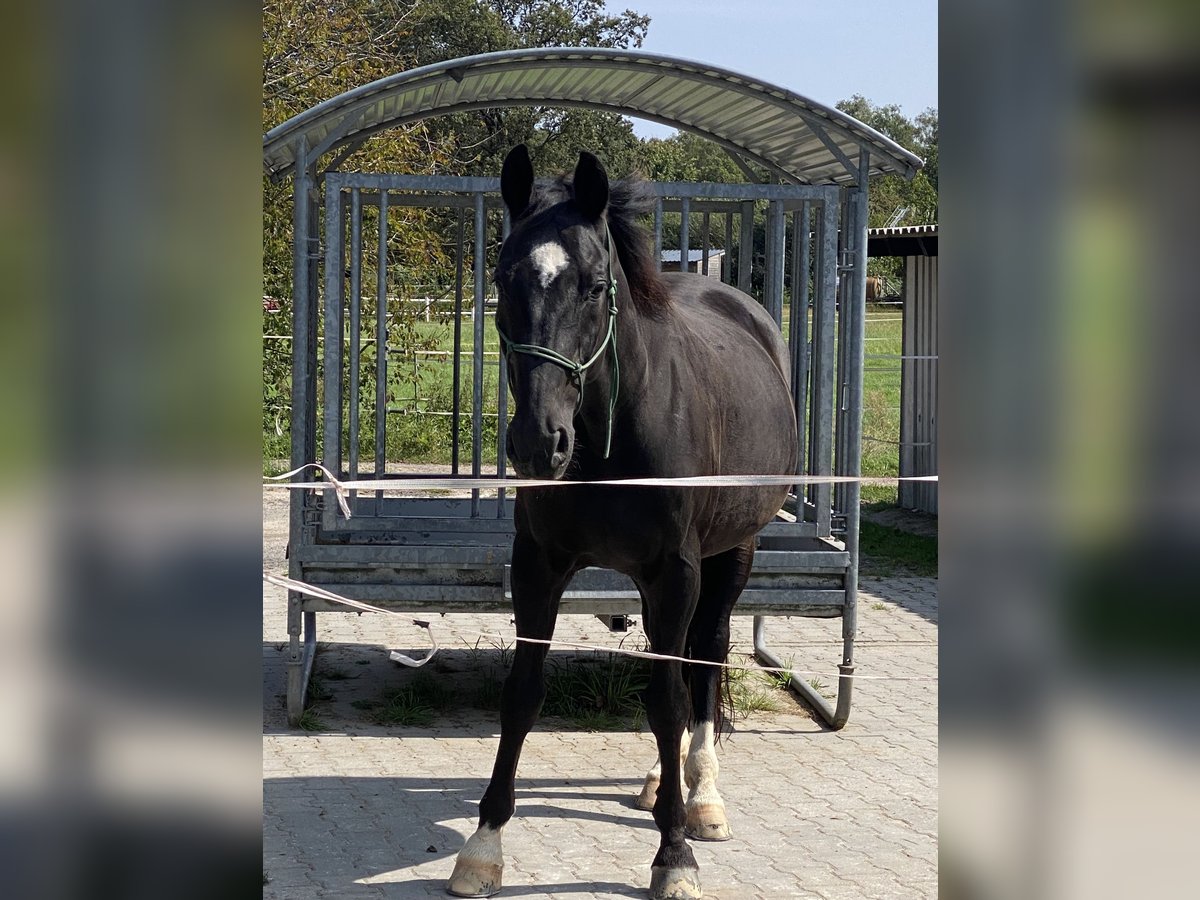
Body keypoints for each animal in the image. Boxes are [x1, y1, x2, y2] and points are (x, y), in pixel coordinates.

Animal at [448, 148, 796, 900]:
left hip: (732, 554)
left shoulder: (676, 572)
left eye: (596, 284)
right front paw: (483, 847)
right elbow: (522, 694)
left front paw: (674, 856)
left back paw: (702, 799)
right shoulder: (539, 564)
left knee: (705, 657)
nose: (538, 442)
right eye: (503, 278)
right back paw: (665, 783)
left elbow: (667, 700)